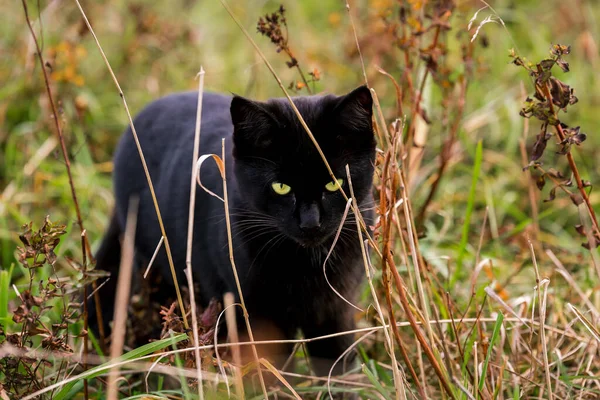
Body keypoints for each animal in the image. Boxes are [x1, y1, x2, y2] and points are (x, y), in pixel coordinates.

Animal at [90, 84, 376, 378]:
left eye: (335, 183)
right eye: (281, 187)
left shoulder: (337, 311)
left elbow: (338, 366)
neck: (307, 266)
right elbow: (269, 372)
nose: (310, 222)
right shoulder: (256, 318)